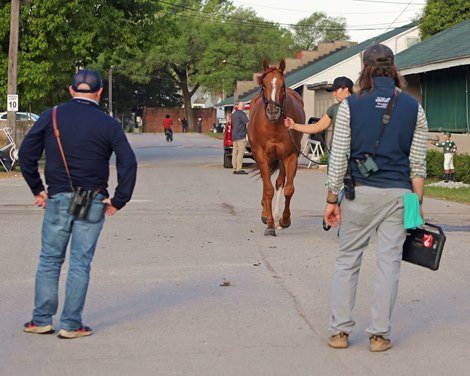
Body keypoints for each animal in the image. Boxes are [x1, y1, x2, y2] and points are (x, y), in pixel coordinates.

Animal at [248, 58, 306, 235]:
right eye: (264, 85)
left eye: (282, 84)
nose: (273, 111)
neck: (273, 126)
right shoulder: (261, 155)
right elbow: (268, 190)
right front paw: (268, 224)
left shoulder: (290, 156)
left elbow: (288, 189)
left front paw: (284, 220)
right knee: (266, 183)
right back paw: (266, 215)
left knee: (280, 182)